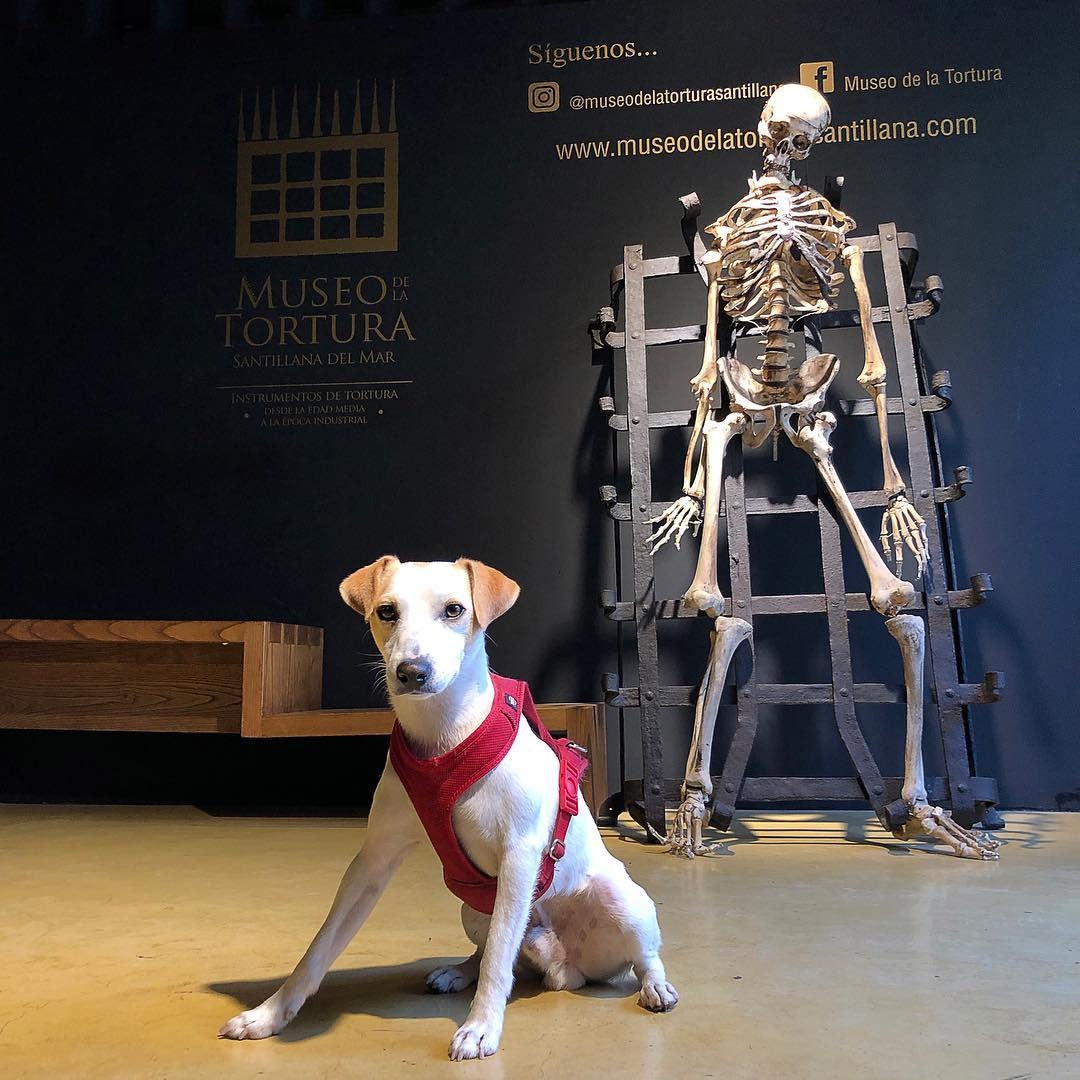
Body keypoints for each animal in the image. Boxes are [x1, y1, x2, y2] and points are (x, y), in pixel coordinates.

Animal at [218, 561, 673, 1058]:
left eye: (454, 610)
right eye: (386, 611)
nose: (412, 671)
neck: (444, 737)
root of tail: (564, 967)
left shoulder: (519, 855)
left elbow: (499, 957)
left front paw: (481, 1027)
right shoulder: (373, 860)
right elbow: (319, 947)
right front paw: (269, 1014)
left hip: (624, 905)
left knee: (640, 956)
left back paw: (655, 987)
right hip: (474, 908)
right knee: (492, 950)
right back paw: (457, 972)